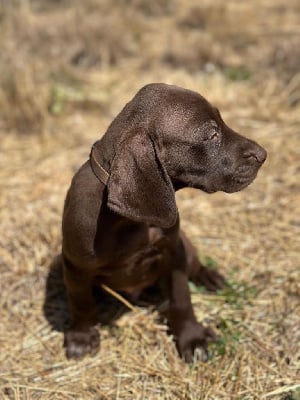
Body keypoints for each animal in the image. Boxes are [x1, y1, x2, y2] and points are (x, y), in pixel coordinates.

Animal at [61, 83, 268, 362]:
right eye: (211, 135)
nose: (263, 154)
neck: (128, 222)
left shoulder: (173, 252)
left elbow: (182, 298)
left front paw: (192, 337)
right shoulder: (75, 266)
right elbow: (81, 302)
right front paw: (81, 336)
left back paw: (209, 277)